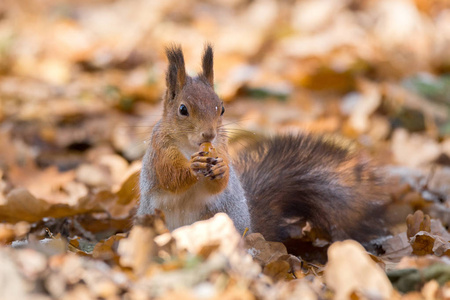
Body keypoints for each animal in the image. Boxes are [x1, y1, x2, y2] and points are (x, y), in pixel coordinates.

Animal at [137, 44, 386, 250]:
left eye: (222, 108)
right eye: (182, 109)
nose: (209, 134)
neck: (191, 147)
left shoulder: (222, 147)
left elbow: (219, 184)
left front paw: (221, 170)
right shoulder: (159, 151)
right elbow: (169, 176)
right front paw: (191, 168)